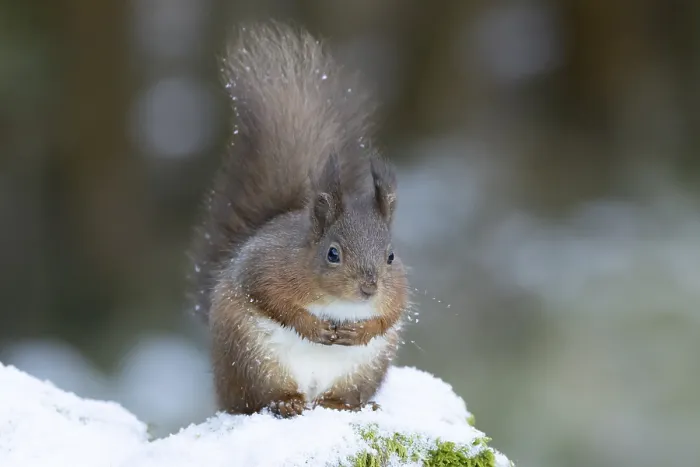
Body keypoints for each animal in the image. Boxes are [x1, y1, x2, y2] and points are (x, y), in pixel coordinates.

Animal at [189, 22, 409, 418]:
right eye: (332, 253)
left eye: (391, 256)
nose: (369, 288)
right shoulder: (265, 268)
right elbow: (272, 299)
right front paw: (313, 326)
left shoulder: (398, 291)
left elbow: (390, 314)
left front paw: (360, 330)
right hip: (254, 363)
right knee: (259, 399)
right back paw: (285, 403)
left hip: (361, 373)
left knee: (336, 398)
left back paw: (345, 406)